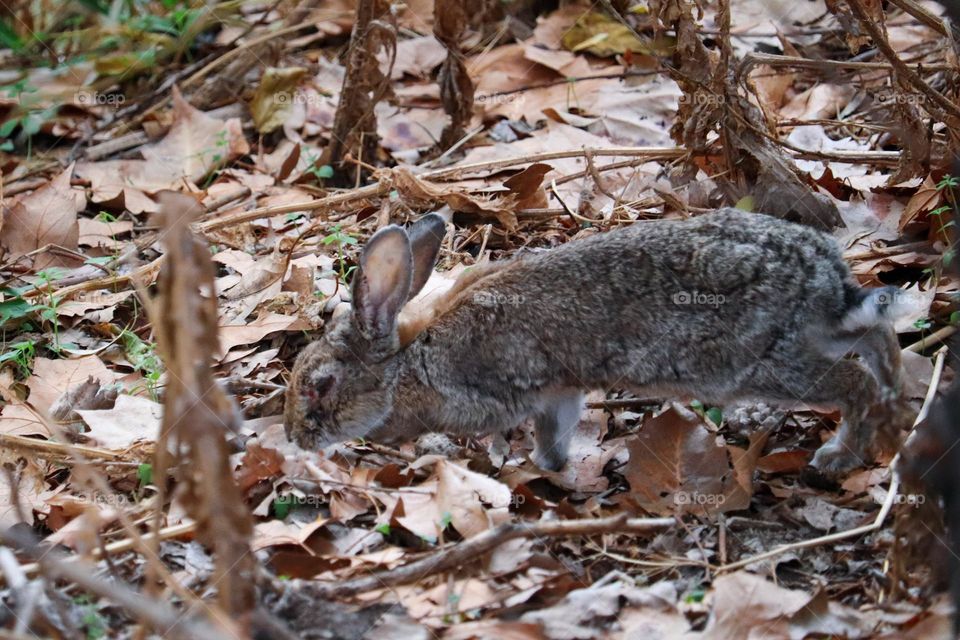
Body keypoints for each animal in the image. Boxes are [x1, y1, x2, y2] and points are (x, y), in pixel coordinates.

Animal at [284, 208, 916, 478]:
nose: (294, 438)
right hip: (808, 334)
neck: (407, 363)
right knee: (874, 329)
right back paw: (899, 396)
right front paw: (552, 467)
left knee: (851, 381)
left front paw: (523, 468)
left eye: (320, 385)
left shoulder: (502, 393)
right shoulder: (558, 392)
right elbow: (555, 430)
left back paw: (839, 454)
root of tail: (822, 274)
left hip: (758, 363)